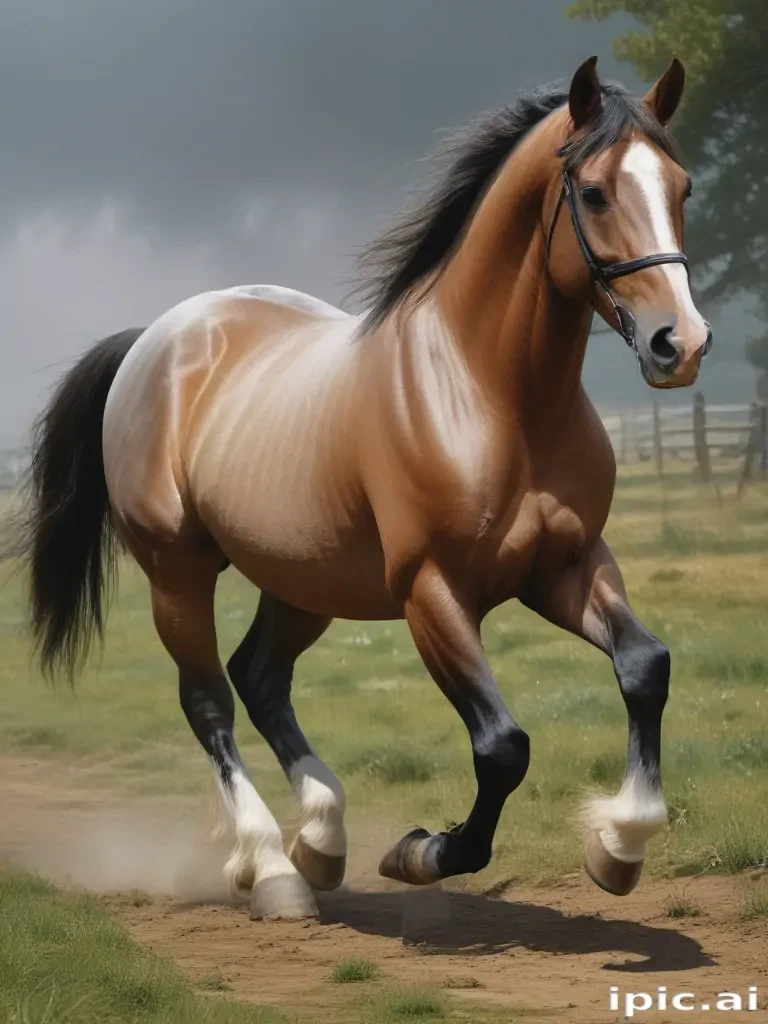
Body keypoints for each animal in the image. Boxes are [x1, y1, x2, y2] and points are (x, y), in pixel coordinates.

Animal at [14, 56, 711, 920]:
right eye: (594, 192)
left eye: (683, 188)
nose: (680, 344)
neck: (492, 394)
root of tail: (158, 339)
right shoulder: (432, 592)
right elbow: (502, 747)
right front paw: (422, 851)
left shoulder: (568, 568)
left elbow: (647, 668)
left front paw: (617, 845)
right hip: (177, 572)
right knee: (209, 701)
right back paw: (272, 869)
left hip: (304, 581)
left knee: (259, 678)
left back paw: (320, 840)